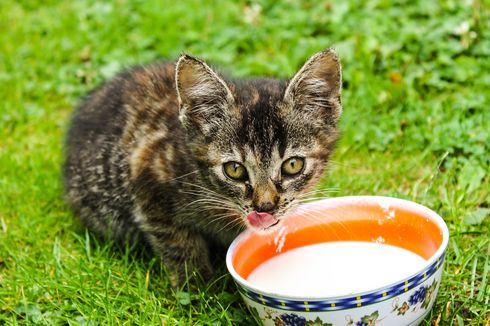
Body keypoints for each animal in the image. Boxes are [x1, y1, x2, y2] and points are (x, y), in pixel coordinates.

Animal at [63, 49, 342, 282]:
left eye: (293, 165)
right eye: (234, 170)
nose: (265, 207)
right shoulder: (148, 177)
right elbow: (179, 244)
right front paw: (198, 289)